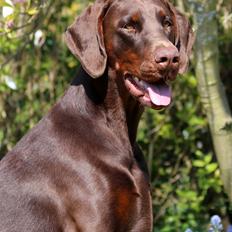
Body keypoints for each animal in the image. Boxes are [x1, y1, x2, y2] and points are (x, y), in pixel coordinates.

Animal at [0, 0, 194, 230]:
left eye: (167, 23)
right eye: (129, 26)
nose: (170, 58)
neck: (117, 132)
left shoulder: (140, 221)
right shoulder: (96, 221)